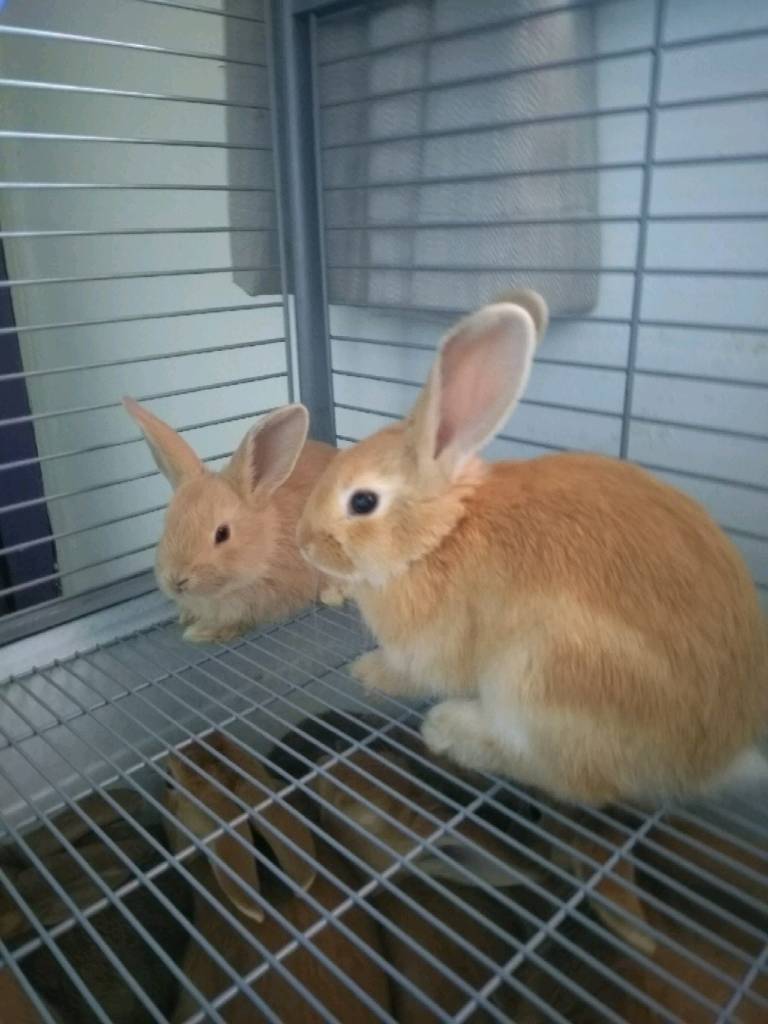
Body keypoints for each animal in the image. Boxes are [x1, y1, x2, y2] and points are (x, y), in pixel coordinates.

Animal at [124, 399, 337, 643]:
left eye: (222, 533)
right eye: (166, 523)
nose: (176, 581)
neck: (269, 544)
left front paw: (200, 632)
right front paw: (186, 617)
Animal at [296, 290, 768, 804]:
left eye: (363, 501)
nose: (304, 544)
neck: (439, 536)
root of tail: (714, 760)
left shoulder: (430, 653)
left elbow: (409, 675)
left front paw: (366, 673)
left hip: (540, 680)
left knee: (571, 778)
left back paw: (451, 730)